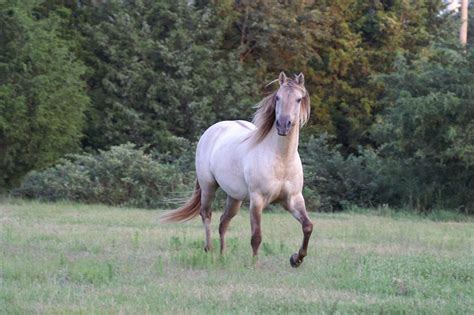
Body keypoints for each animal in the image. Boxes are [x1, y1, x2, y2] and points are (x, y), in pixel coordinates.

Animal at [161, 73, 312, 268]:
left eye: (298, 99)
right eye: (278, 97)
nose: (283, 125)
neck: (281, 159)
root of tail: (212, 130)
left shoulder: (292, 199)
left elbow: (307, 226)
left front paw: (296, 259)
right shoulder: (257, 199)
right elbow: (256, 236)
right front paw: (255, 264)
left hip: (234, 197)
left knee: (223, 222)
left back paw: (222, 256)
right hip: (208, 186)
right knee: (206, 214)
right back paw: (209, 250)